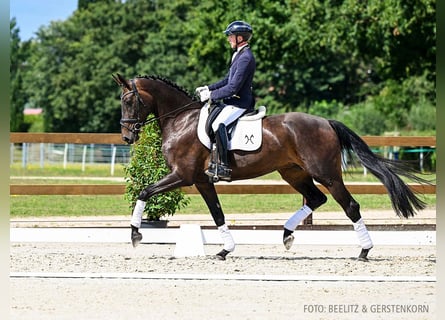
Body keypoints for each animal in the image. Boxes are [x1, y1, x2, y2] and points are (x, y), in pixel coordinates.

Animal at [112, 74, 428, 262]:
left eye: (128, 100)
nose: (127, 137)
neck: (181, 120)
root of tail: (326, 122)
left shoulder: (182, 176)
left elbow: (144, 192)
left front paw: (135, 234)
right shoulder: (202, 181)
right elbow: (217, 214)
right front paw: (224, 250)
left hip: (326, 174)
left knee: (349, 205)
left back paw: (364, 250)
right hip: (293, 172)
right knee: (315, 198)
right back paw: (287, 234)